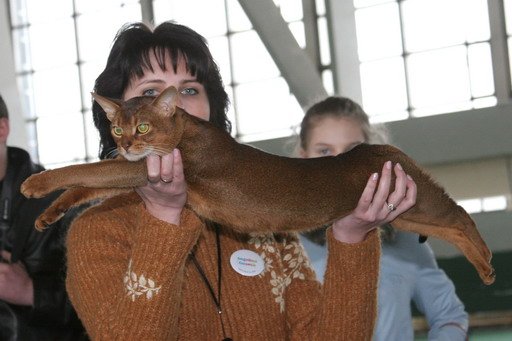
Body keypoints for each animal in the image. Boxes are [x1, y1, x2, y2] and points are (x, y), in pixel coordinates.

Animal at [22, 85, 494, 284]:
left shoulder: (148, 167)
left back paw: (487, 260)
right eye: (118, 130)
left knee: (461, 213)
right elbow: (87, 186)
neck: (186, 128)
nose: (126, 144)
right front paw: (47, 215)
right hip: (405, 210)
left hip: (419, 199)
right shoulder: (138, 171)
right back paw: (483, 264)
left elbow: (84, 170)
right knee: (450, 224)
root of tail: (380, 148)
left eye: (142, 127)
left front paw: (35, 182)